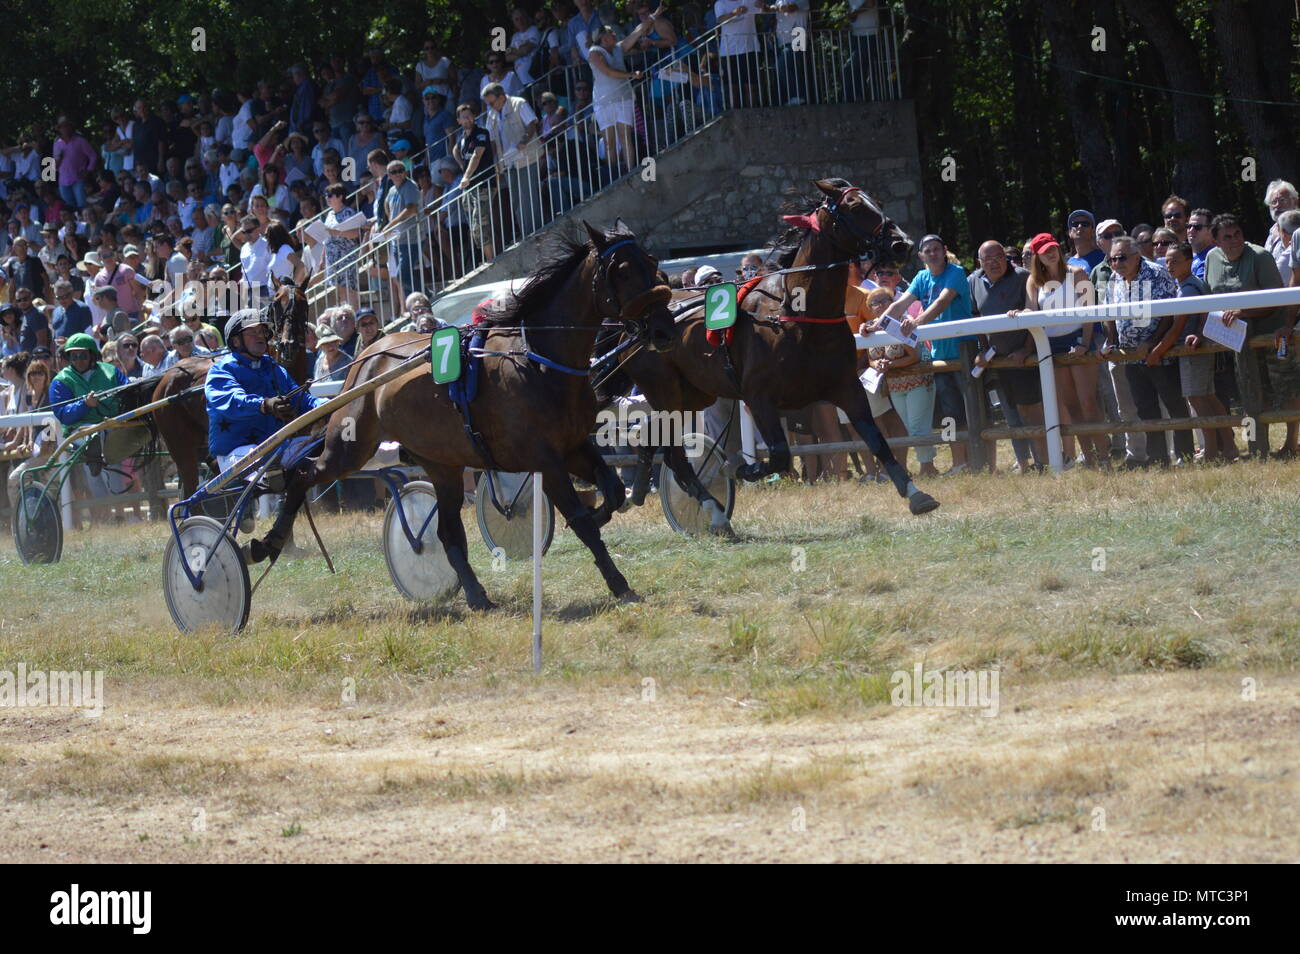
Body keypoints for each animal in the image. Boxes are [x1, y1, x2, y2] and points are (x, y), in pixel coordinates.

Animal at [244, 220, 676, 608]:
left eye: (653, 262)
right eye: (622, 270)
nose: (663, 328)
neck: (538, 359)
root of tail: (368, 355)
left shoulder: (573, 447)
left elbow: (613, 491)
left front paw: (603, 513)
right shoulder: (546, 460)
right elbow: (582, 521)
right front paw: (620, 584)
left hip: (442, 463)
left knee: (448, 534)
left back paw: (476, 594)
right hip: (350, 446)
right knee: (302, 474)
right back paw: (267, 542)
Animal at [598, 175, 935, 535]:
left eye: (879, 203)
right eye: (855, 206)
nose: (902, 244)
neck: (797, 312)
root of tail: (634, 325)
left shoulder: (847, 387)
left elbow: (876, 440)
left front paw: (915, 494)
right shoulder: (758, 397)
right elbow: (779, 454)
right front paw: (741, 470)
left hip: (694, 393)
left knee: (654, 439)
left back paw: (640, 493)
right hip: (664, 390)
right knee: (674, 454)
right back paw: (712, 510)